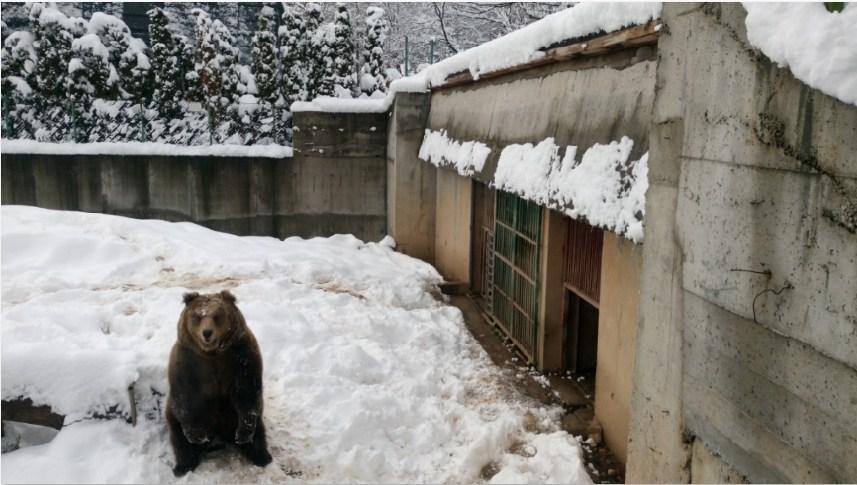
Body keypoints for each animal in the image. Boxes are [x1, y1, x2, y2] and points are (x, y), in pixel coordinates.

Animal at [166, 290, 272, 474]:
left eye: (217, 315)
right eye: (197, 316)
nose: (207, 332)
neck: (212, 354)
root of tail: (218, 434)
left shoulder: (242, 357)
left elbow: (247, 393)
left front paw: (243, 435)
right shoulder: (186, 361)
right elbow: (185, 397)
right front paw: (197, 436)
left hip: (233, 416)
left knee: (258, 432)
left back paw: (261, 456)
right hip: (179, 417)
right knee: (179, 439)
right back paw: (183, 466)